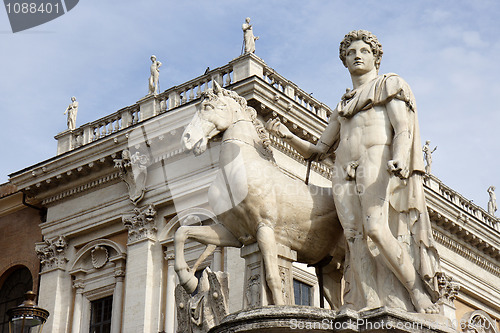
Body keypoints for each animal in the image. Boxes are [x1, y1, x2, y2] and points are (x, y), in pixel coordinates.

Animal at [175, 82, 344, 308]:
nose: (186, 139)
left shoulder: (265, 228)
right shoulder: (231, 233)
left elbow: (274, 277)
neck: (243, 166)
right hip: (330, 267)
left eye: (208, 107)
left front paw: (280, 309)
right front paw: (189, 279)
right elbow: (182, 232)